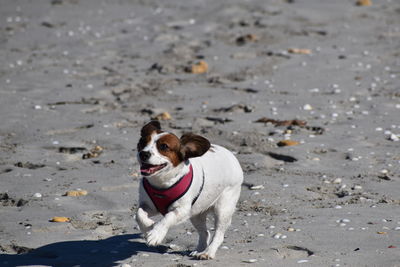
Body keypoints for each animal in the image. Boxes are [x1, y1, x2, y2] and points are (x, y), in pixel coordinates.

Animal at [135, 122, 244, 260]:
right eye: (142, 142)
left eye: (164, 146)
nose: (143, 154)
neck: (162, 183)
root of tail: (229, 153)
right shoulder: (149, 205)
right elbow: (139, 214)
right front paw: (148, 226)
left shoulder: (182, 210)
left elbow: (168, 218)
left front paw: (156, 234)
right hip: (196, 213)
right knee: (205, 233)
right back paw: (199, 250)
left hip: (223, 208)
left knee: (218, 235)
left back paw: (208, 252)